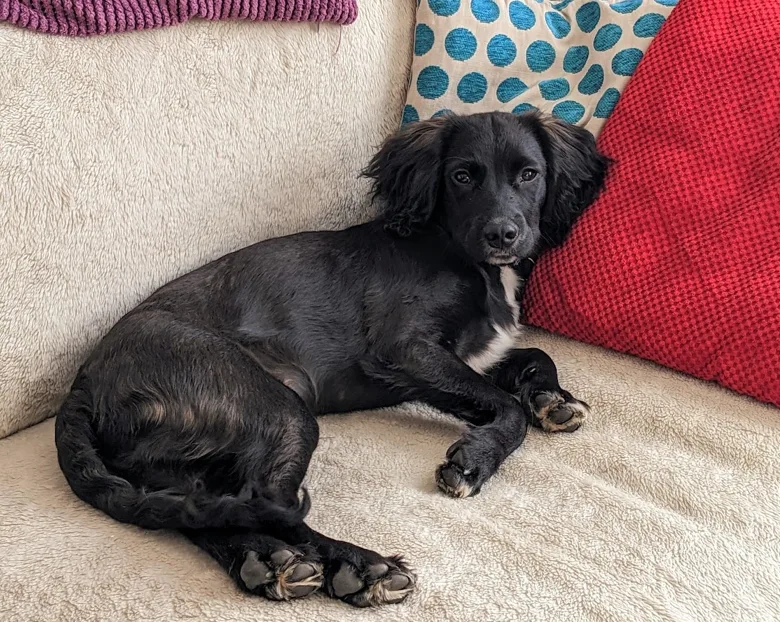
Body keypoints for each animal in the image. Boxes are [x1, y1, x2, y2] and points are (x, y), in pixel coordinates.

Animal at [56, 111, 608, 608]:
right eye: (462, 176)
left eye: (529, 174)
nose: (502, 235)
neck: (465, 257)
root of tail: (84, 381)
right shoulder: (403, 349)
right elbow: (505, 406)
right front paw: (475, 460)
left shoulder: (477, 351)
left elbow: (534, 354)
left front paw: (553, 399)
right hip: (282, 408)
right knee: (270, 505)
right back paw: (359, 567)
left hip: (177, 465)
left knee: (201, 513)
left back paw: (265, 565)